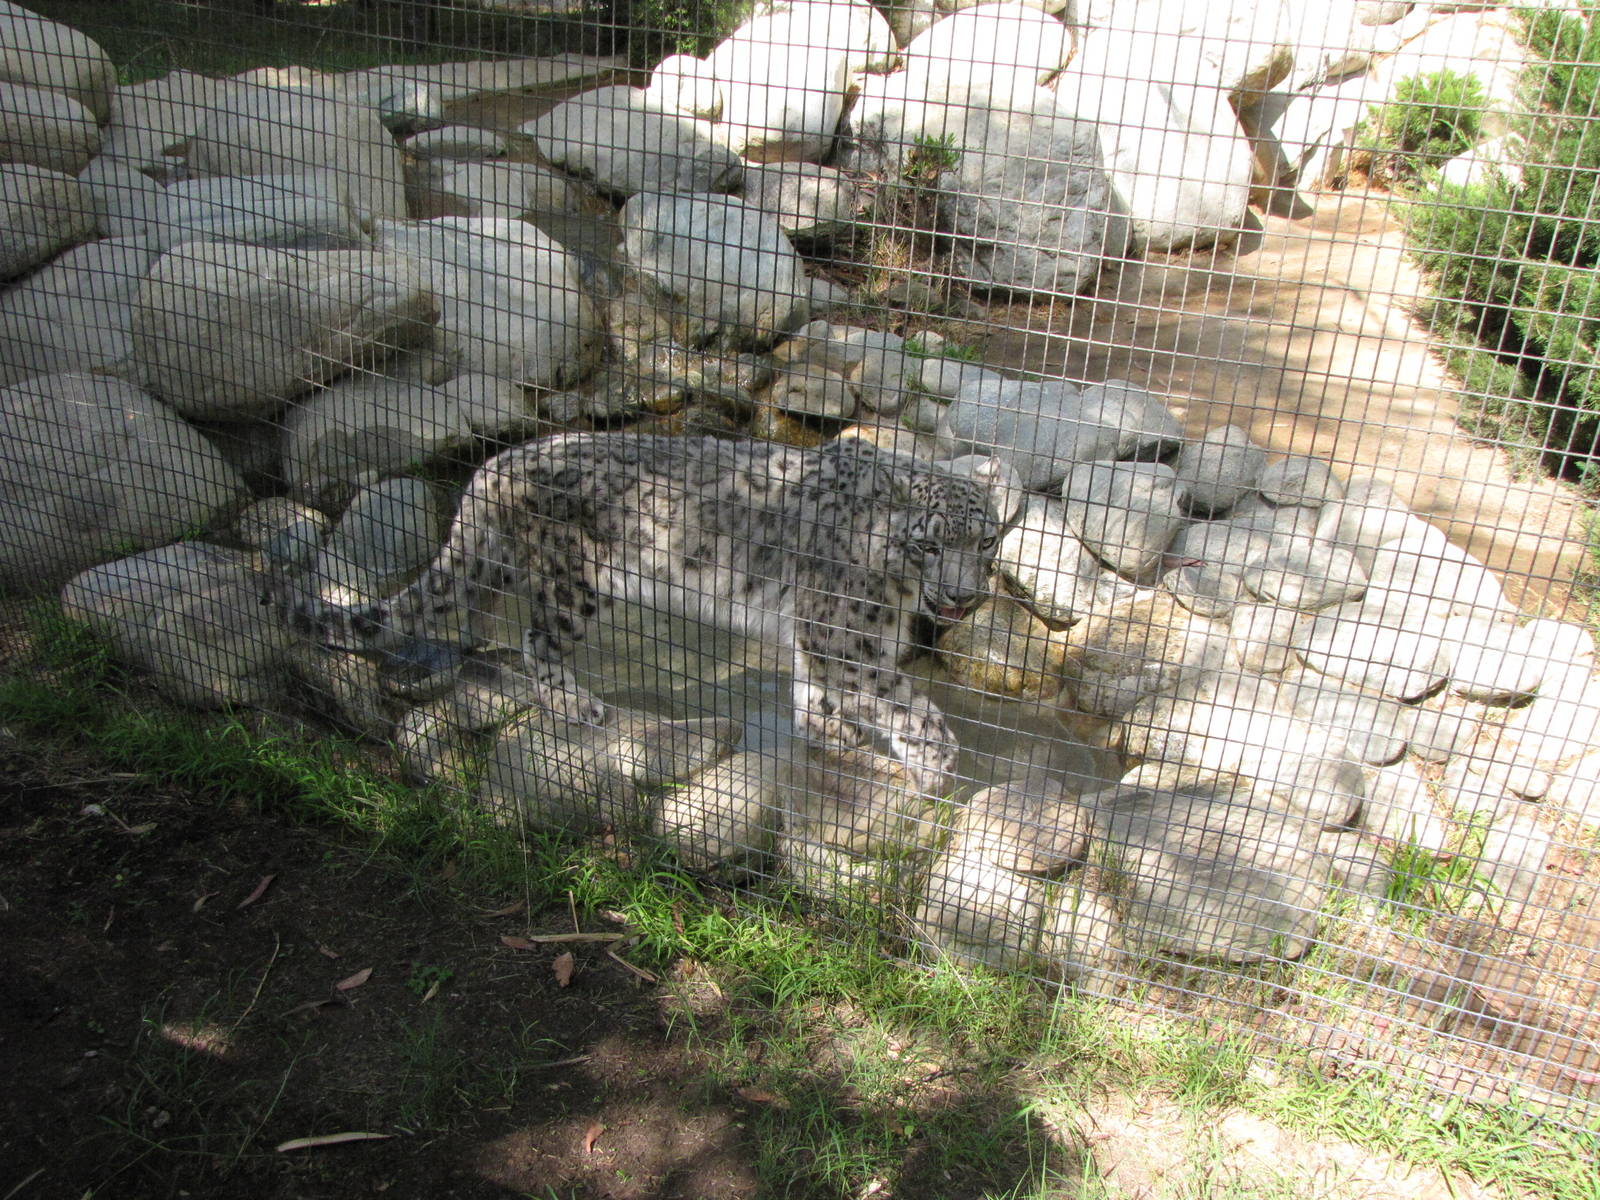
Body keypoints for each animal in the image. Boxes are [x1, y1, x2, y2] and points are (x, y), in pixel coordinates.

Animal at [274, 432, 1008, 796]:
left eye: (986, 541)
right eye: (931, 543)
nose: (961, 595)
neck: (897, 584)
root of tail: (496, 462)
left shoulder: (825, 630)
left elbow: (818, 686)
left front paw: (829, 730)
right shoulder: (846, 630)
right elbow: (900, 699)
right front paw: (936, 762)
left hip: (499, 557)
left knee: (473, 599)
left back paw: (482, 647)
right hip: (574, 580)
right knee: (539, 638)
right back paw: (575, 703)